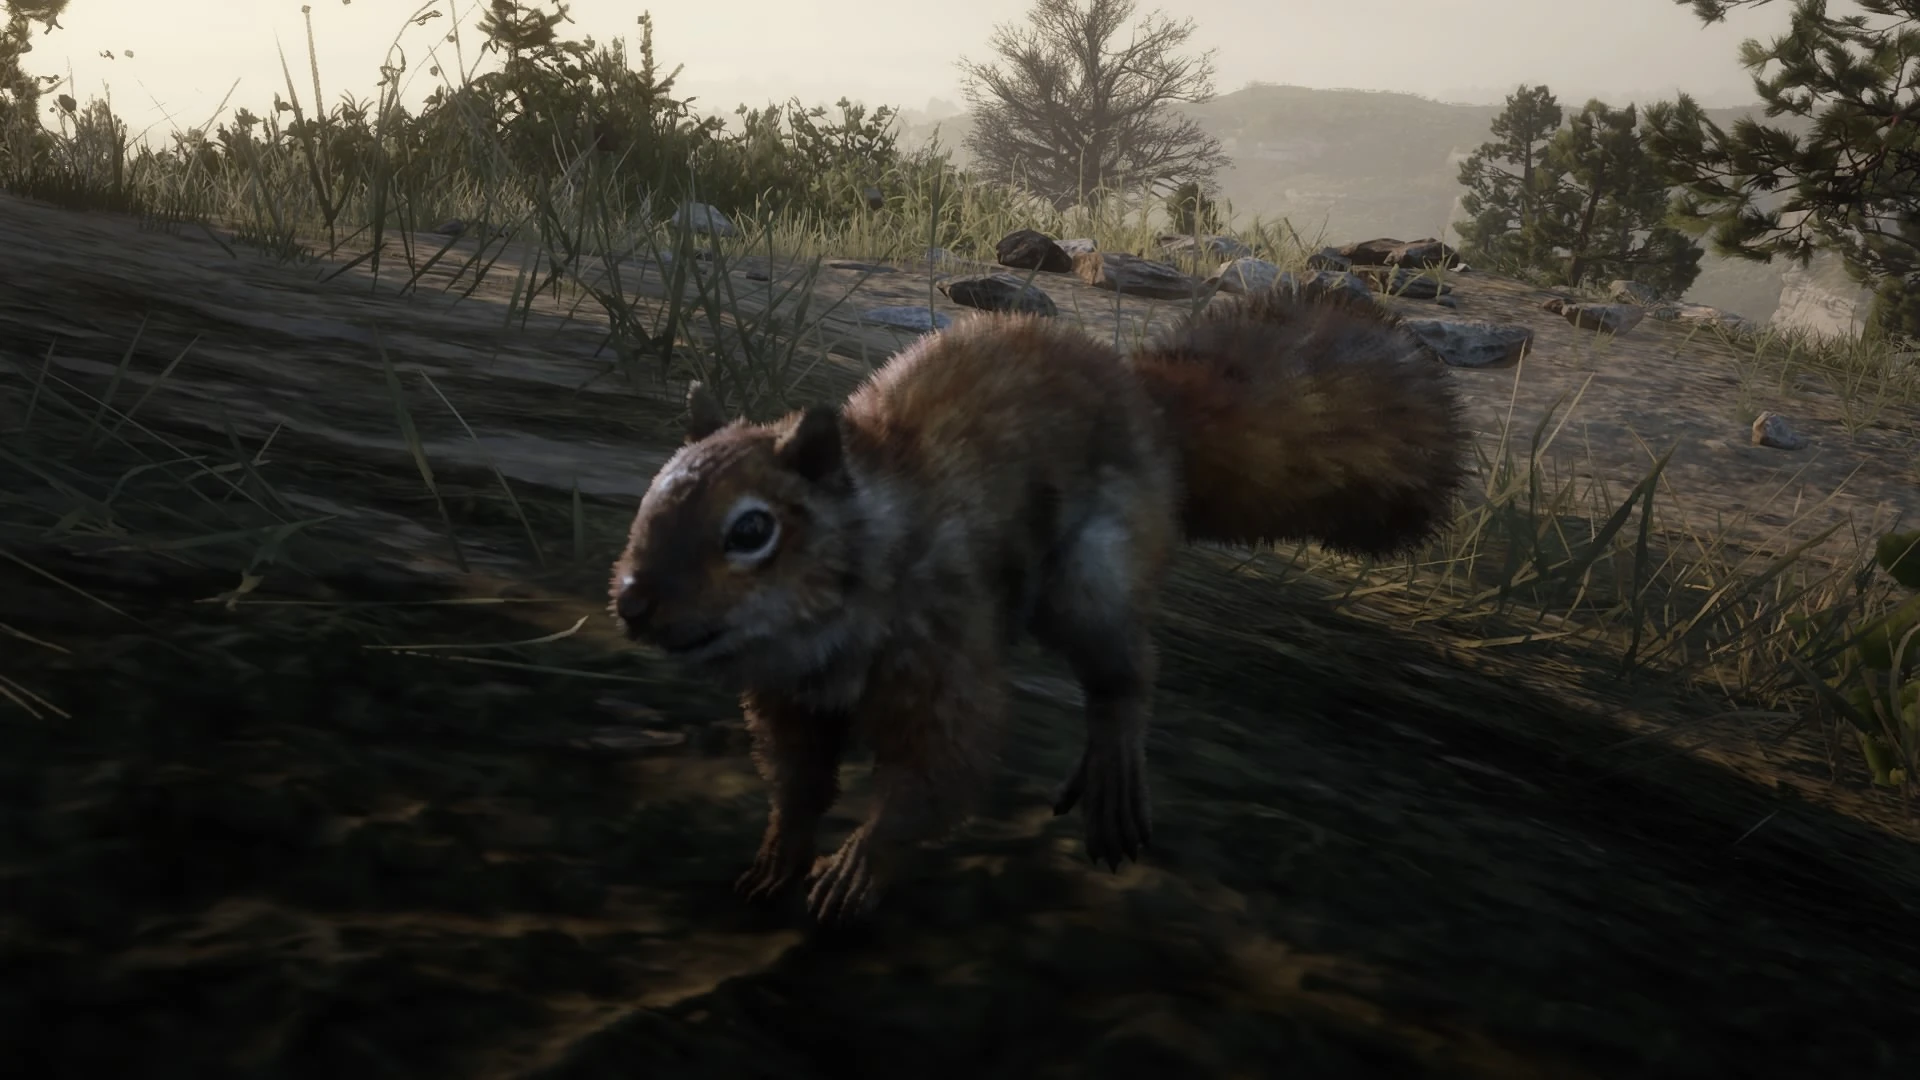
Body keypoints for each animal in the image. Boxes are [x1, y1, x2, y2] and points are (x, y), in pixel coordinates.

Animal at [609, 279, 1469, 926]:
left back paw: (1114, 765)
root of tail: (1151, 412)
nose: (631, 603)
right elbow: (798, 782)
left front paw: (857, 867)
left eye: (752, 530)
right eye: (651, 492)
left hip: (1090, 580)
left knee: (1127, 672)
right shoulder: (789, 697)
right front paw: (776, 857)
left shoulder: (946, 648)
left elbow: (941, 769)